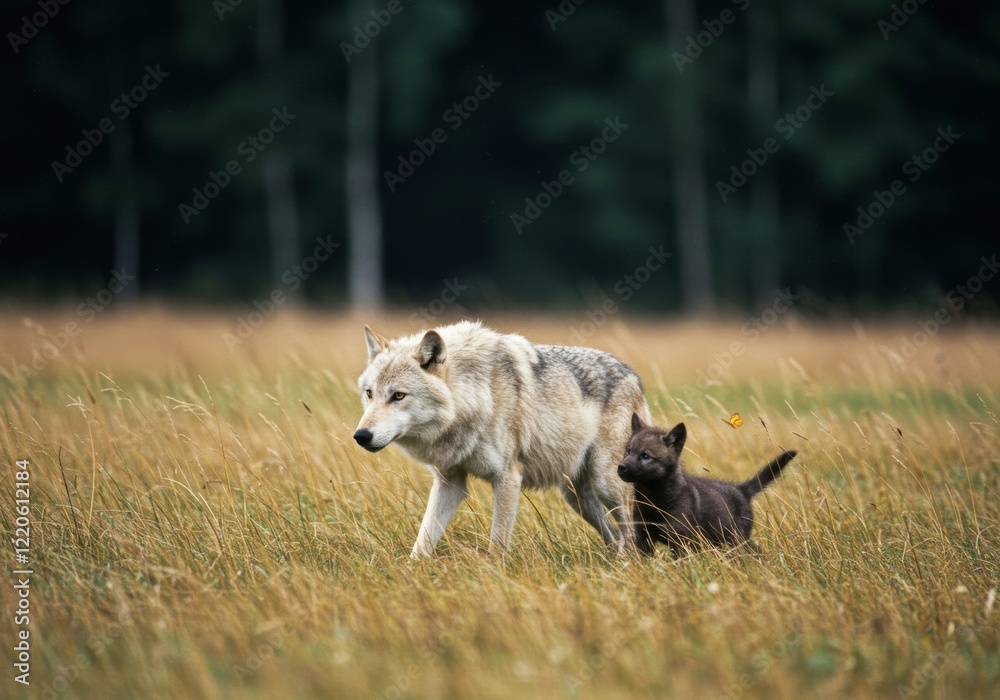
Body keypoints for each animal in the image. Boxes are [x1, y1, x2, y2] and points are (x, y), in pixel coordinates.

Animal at [353, 321, 651, 557]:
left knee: (630, 534)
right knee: (613, 536)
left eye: (398, 396)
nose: (361, 436)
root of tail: (633, 375)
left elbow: (497, 544)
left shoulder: (508, 477)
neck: (474, 396)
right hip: (576, 497)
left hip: (607, 484)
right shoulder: (450, 482)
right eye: (370, 393)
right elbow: (422, 542)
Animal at [617, 413, 797, 556]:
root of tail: (742, 490)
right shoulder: (643, 538)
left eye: (645, 456)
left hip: (735, 539)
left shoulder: (680, 541)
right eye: (628, 451)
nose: (621, 467)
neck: (653, 500)